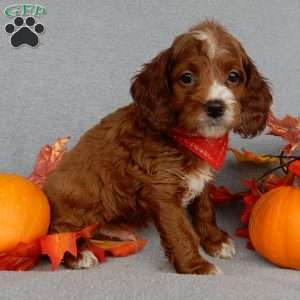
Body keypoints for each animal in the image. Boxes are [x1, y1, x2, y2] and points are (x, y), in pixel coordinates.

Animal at [44, 20, 272, 274]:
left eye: (233, 76)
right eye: (186, 78)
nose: (215, 107)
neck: (192, 139)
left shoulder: (202, 178)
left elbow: (205, 209)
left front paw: (215, 241)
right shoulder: (162, 190)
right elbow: (180, 232)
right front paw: (196, 267)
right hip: (73, 204)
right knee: (57, 231)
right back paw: (77, 254)